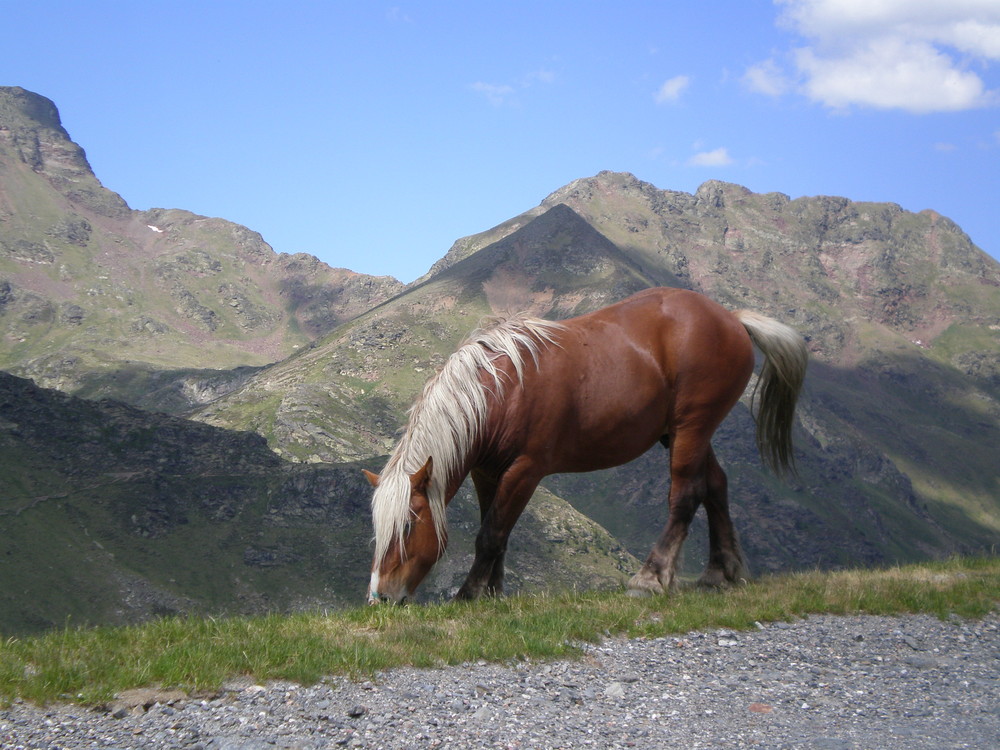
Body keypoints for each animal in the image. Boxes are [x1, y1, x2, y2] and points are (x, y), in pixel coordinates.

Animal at [364, 288, 808, 604]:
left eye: (407, 525)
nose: (381, 597)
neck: (500, 390)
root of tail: (731, 318)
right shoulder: (487, 473)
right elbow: (496, 531)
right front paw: (492, 592)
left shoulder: (526, 470)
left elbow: (491, 534)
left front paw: (469, 594)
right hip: (686, 433)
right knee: (716, 486)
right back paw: (721, 572)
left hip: (692, 427)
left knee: (686, 494)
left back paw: (651, 577)